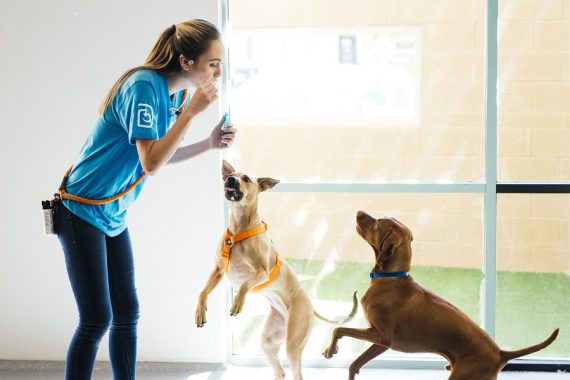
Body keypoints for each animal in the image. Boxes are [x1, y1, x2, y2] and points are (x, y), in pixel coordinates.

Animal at [195, 160, 356, 380]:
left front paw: (237, 302)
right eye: (230, 175)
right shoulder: (218, 270)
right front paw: (200, 312)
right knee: (280, 371)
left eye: (246, 178)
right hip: (269, 340)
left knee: (296, 372)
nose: (230, 179)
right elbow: (202, 292)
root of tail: (309, 304)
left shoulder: (262, 272)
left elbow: (245, 284)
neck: (239, 231)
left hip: (294, 342)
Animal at [322, 211, 556, 380]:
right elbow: (353, 363)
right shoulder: (378, 340)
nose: (359, 211)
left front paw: (331, 350)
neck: (392, 278)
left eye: (378, 222)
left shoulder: (383, 337)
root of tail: (501, 353)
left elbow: (339, 329)